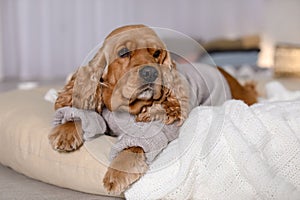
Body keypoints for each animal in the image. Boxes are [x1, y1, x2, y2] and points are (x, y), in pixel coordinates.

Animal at [47, 24, 258, 195]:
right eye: (124, 52)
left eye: (156, 53)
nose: (150, 72)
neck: (125, 109)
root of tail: (226, 74)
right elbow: (85, 115)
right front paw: (65, 131)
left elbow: (133, 145)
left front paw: (117, 173)